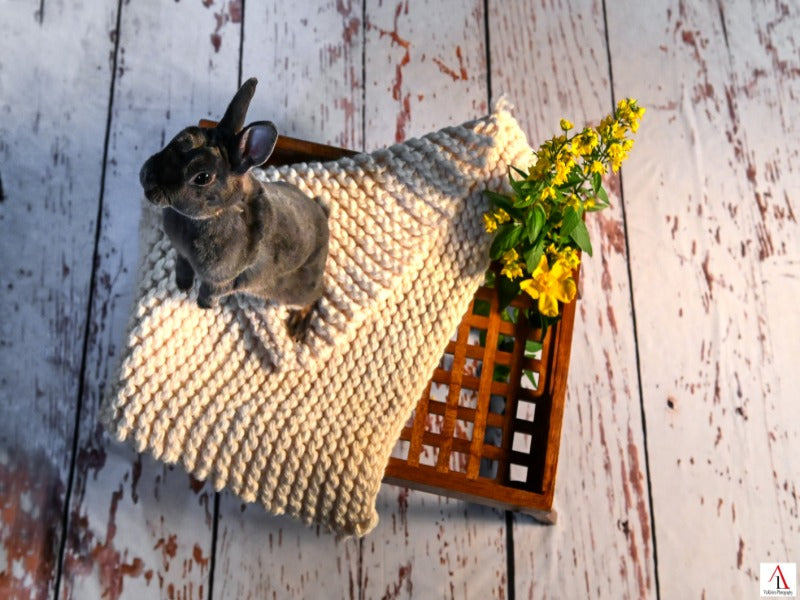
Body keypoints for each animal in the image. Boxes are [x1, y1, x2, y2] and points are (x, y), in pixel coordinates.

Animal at [138, 77, 328, 340]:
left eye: (202, 177)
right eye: (180, 136)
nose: (146, 177)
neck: (214, 215)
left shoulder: (221, 280)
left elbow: (210, 292)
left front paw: (203, 306)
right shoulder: (181, 254)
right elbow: (182, 266)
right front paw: (182, 286)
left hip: (296, 290)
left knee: (315, 296)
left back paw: (298, 327)